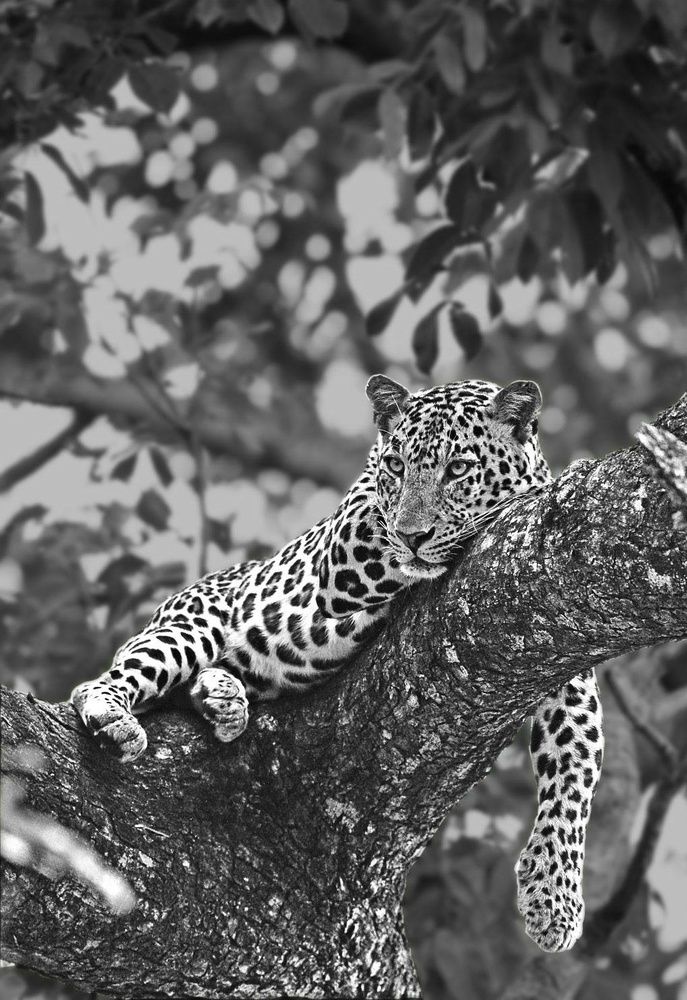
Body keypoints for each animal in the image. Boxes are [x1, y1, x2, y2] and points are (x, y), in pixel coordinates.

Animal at [71, 375, 604, 953]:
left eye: (458, 469)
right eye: (395, 465)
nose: (413, 534)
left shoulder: (565, 652)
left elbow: (576, 769)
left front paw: (554, 896)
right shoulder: (347, 547)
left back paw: (222, 700)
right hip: (189, 624)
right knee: (110, 678)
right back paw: (116, 714)